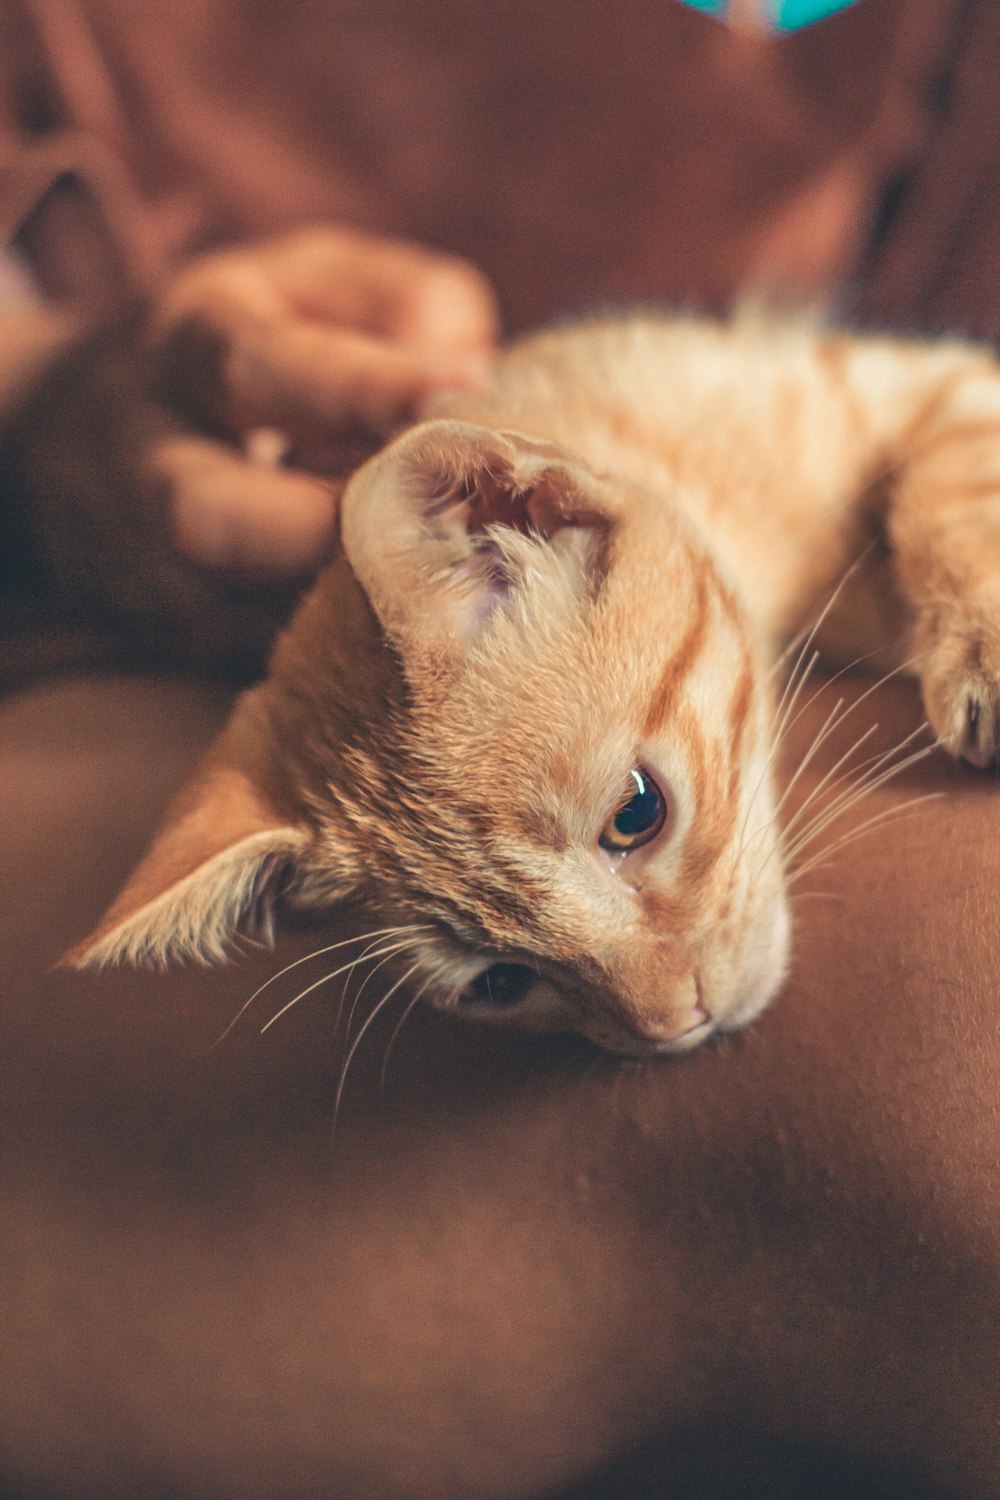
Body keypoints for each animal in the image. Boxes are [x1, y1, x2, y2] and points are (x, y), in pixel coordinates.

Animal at [68, 313, 1000, 1056]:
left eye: (637, 814)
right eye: (500, 982)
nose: (678, 1026)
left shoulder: (919, 386)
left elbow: (960, 483)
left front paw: (979, 638)